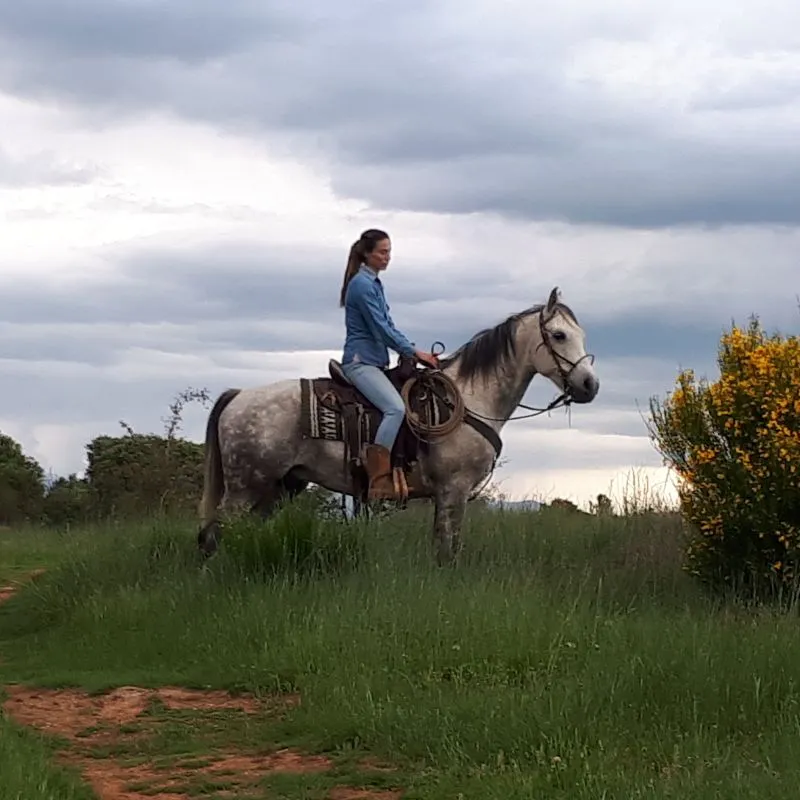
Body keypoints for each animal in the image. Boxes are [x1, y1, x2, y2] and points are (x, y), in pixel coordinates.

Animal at [196, 286, 599, 565]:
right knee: (213, 535)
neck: (468, 400)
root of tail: (238, 396)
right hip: (245, 488)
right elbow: (447, 549)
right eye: (559, 335)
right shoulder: (453, 491)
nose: (590, 385)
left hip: (279, 488)